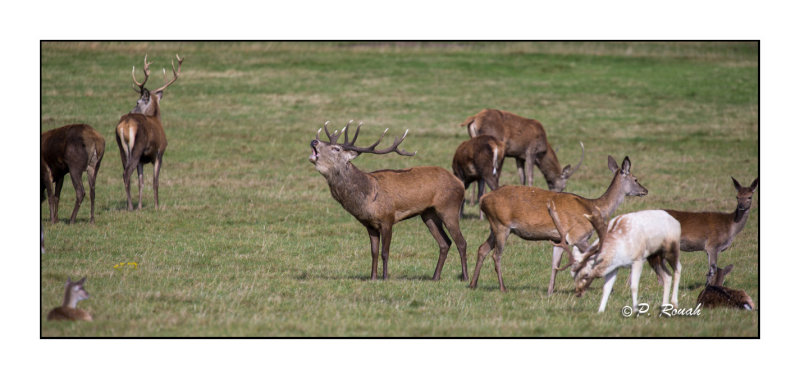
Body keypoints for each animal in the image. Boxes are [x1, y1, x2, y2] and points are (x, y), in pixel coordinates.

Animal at [114, 54, 183, 211]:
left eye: (137, 102)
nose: (130, 111)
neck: (156, 119)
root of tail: (126, 124)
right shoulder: (159, 153)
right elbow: (155, 181)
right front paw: (157, 206)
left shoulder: (141, 160)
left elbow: (141, 182)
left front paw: (140, 206)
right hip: (137, 147)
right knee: (127, 173)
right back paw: (130, 207)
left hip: (122, 149)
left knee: (125, 172)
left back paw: (131, 205)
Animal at [306, 121, 468, 282]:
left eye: (336, 148)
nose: (314, 141)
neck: (367, 198)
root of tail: (460, 183)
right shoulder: (369, 225)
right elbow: (374, 252)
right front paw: (372, 278)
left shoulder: (387, 219)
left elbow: (385, 252)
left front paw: (384, 278)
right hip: (428, 214)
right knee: (445, 243)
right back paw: (435, 277)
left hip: (449, 207)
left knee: (461, 242)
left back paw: (465, 277)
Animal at [468, 156, 648, 296]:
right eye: (636, 179)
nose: (645, 190)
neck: (594, 208)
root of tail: (483, 199)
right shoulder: (578, 236)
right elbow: (596, 258)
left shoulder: (560, 240)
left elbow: (555, 264)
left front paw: (549, 291)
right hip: (501, 225)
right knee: (496, 255)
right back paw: (502, 287)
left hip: (495, 227)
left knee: (482, 248)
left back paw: (472, 284)